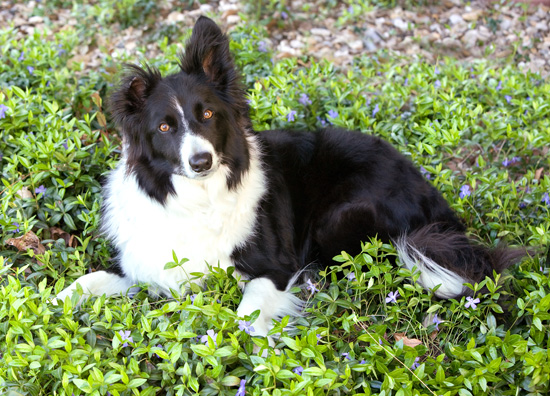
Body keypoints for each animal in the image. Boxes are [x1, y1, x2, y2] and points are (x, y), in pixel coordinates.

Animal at [56, 16, 528, 338]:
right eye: (165, 127)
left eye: (206, 115)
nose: (201, 161)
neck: (199, 196)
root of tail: (437, 200)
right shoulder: (140, 261)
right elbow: (89, 279)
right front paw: (52, 302)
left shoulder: (275, 267)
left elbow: (246, 312)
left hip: (339, 220)